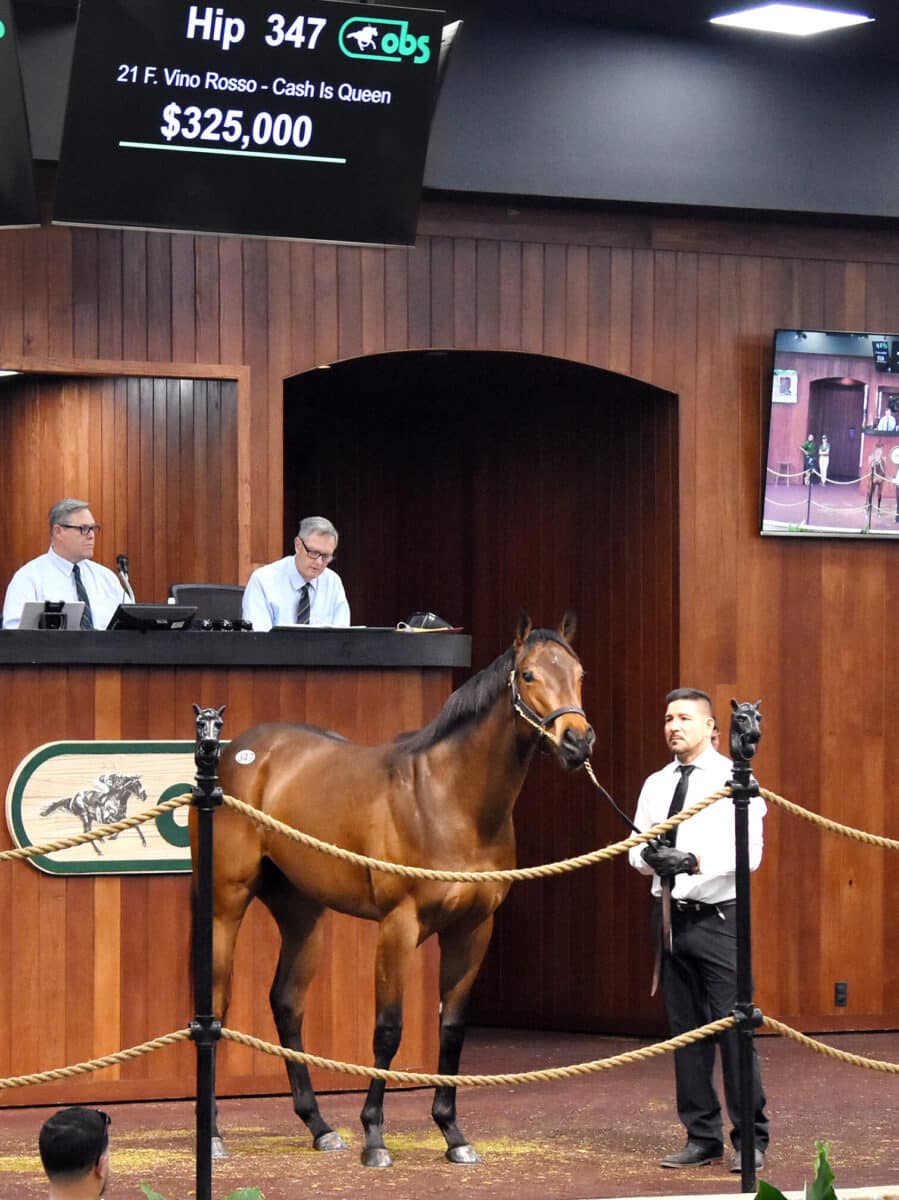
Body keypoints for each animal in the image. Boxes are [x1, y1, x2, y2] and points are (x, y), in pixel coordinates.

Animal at [193, 609, 592, 1161]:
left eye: (579, 675)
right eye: (529, 675)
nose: (578, 742)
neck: (448, 798)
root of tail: (236, 754)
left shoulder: (473, 929)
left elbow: (452, 1028)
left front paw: (452, 1133)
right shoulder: (398, 927)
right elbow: (388, 1030)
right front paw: (375, 1136)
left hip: (303, 912)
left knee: (286, 1003)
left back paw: (319, 1126)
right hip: (225, 904)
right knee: (215, 1007)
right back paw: (212, 1136)